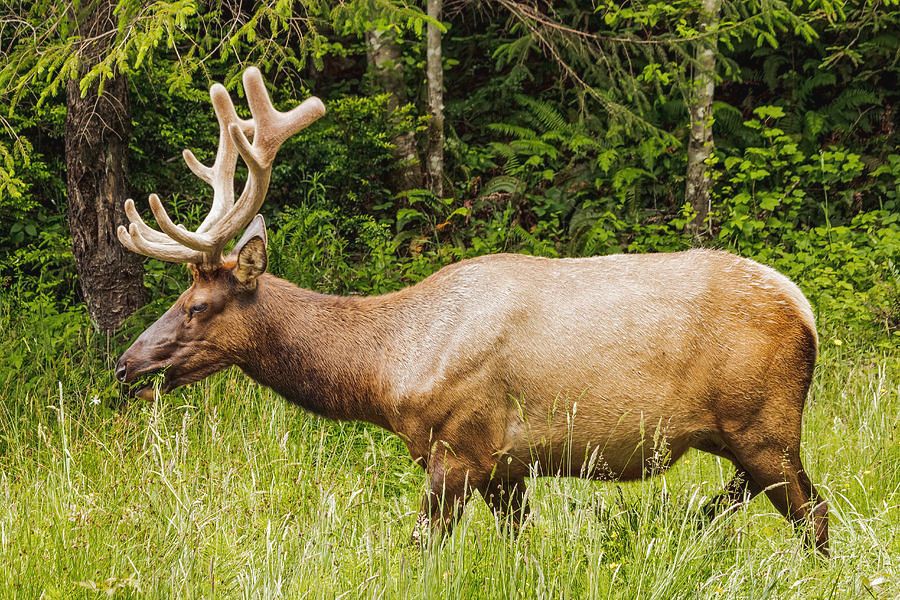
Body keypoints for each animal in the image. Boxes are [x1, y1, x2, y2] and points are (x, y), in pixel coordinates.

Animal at [115, 67, 828, 554]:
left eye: (196, 305)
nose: (124, 364)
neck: (385, 370)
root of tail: (805, 311)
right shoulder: (505, 466)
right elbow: (523, 542)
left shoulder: (459, 444)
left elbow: (422, 549)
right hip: (744, 433)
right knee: (756, 498)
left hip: (764, 424)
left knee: (814, 513)